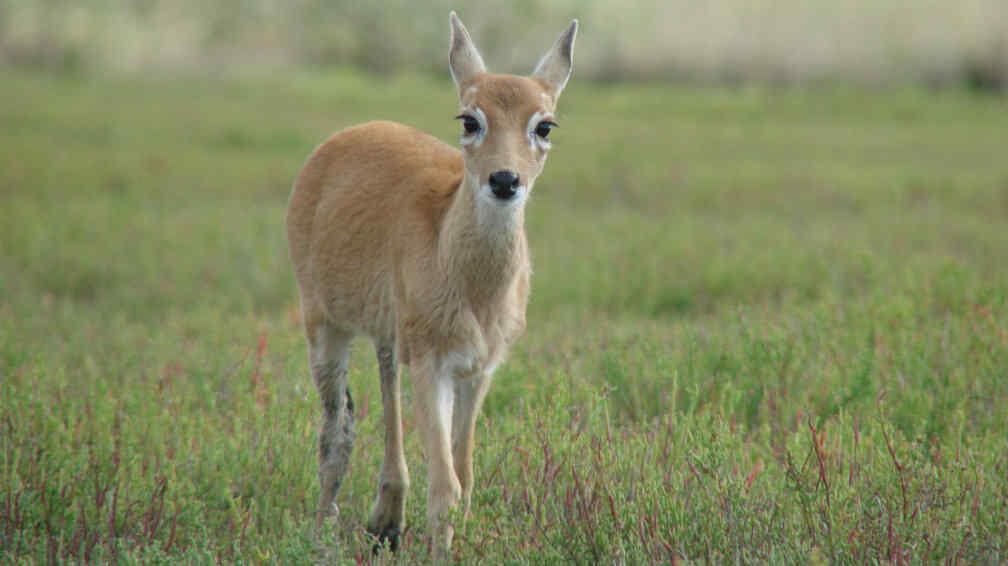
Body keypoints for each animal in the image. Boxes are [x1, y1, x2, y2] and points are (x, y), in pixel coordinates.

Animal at [288, 11, 580, 555]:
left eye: (544, 124)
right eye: (469, 119)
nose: (504, 179)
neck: (473, 288)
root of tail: (341, 138)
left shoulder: (480, 369)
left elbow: (464, 474)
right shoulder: (433, 362)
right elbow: (445, 484)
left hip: (388, 333)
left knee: (384, 387)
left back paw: (385, 518)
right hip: (323, 321)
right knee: (336, 430)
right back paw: (322, 536)